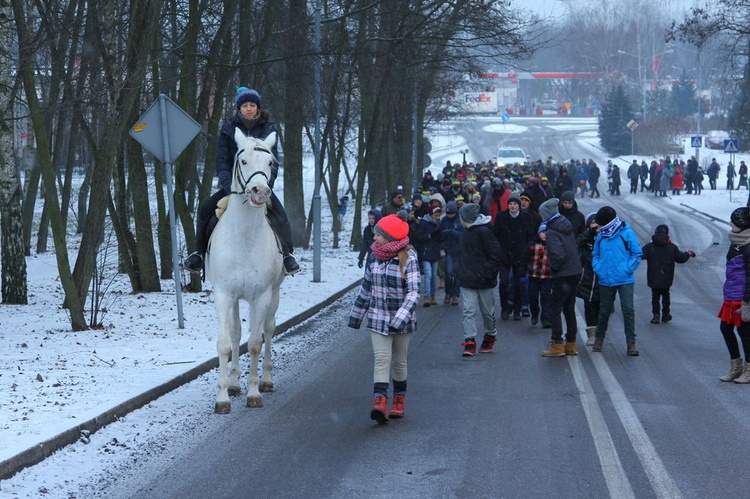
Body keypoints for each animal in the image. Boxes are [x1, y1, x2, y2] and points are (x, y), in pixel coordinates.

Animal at [206, 130, 284, 414]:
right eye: (243, 161)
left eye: (270, 162)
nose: (260, 191)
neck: (244, 237)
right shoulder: (223, 295)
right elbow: (226, 343)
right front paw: (223, 397)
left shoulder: (261, 296)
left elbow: (254, 343)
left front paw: (253, 393)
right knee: (237, 333)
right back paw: (234, 383)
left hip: (274, 293)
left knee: (269, 329)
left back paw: (266, 380)